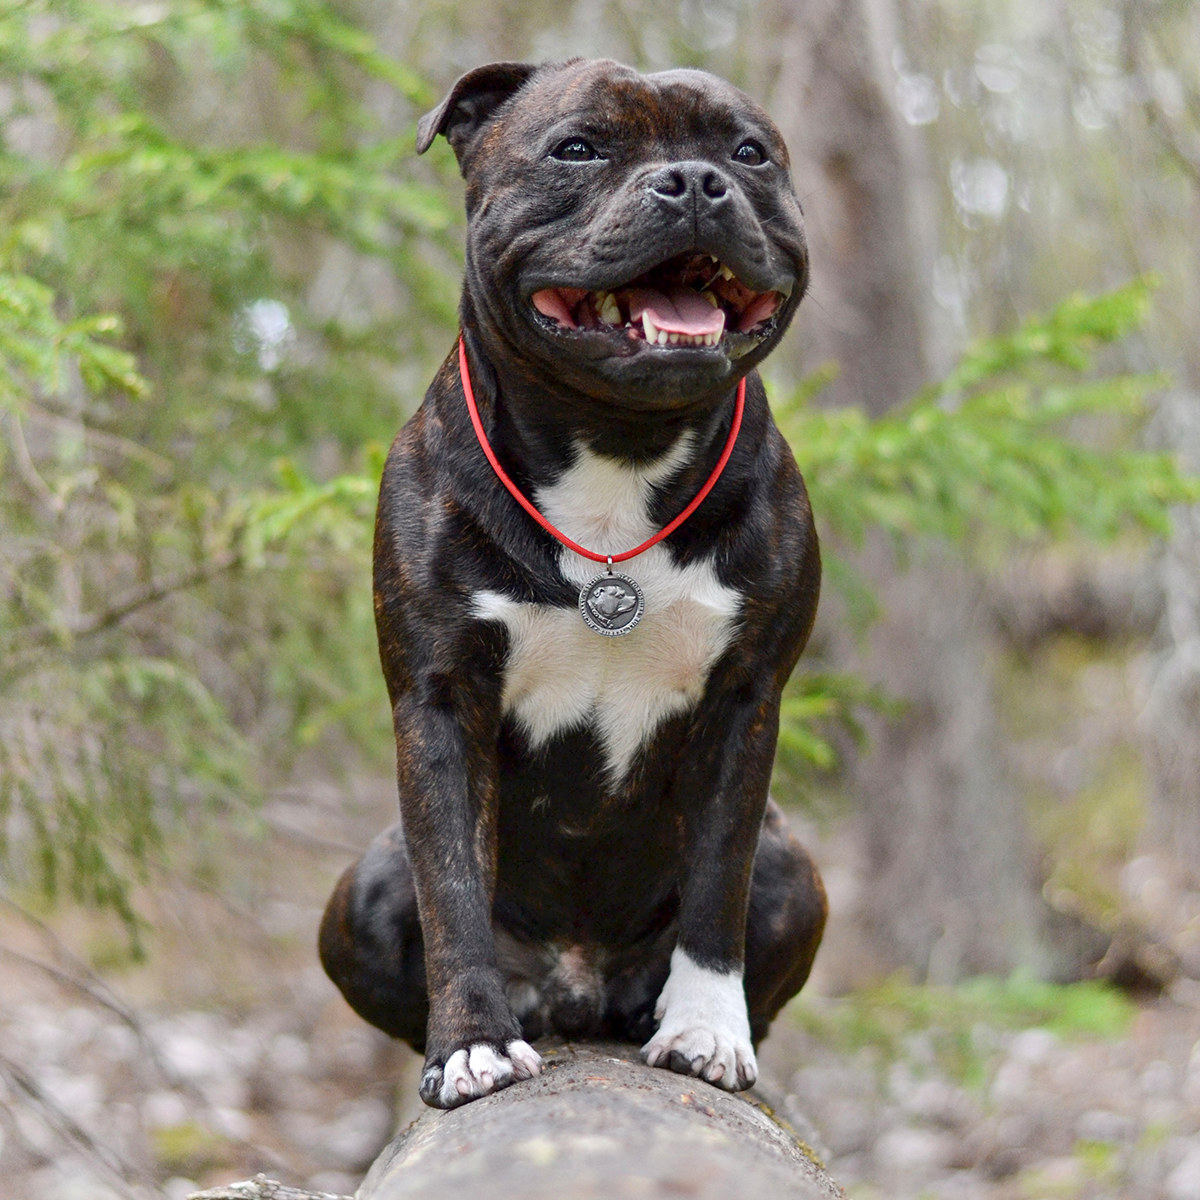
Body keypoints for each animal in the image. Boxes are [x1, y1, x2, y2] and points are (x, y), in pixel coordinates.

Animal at [319, 54, 825, 1104]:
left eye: (747, 153)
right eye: (578, 147)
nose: (693, 182)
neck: (615, 449)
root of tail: (576, 987)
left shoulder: (746, 701)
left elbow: (717, 887)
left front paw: (706, 1030)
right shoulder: (440, 698)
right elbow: (452, 890)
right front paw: (470, 1042)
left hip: (797, 872)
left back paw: (658, 1014)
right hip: (362, 890)